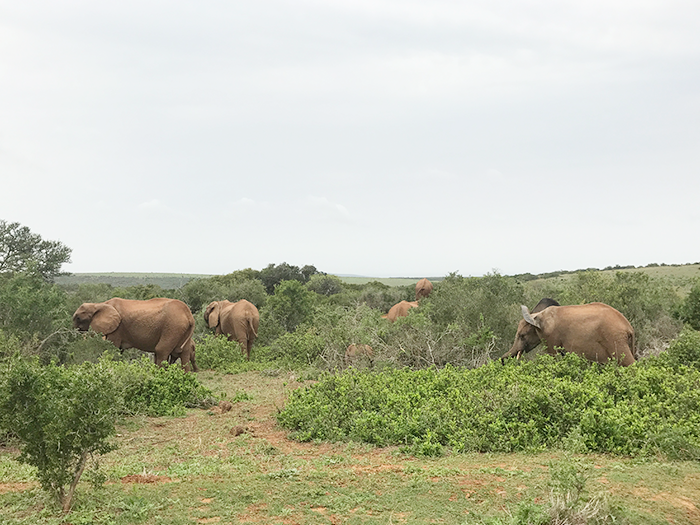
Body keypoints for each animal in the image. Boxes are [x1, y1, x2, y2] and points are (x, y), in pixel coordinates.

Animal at [500, 300, 636, 366]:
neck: (539, 316)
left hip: (615, 339)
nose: (502, 361)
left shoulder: (550, 337)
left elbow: (554, 357)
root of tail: (629, 327)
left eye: (522, 336)